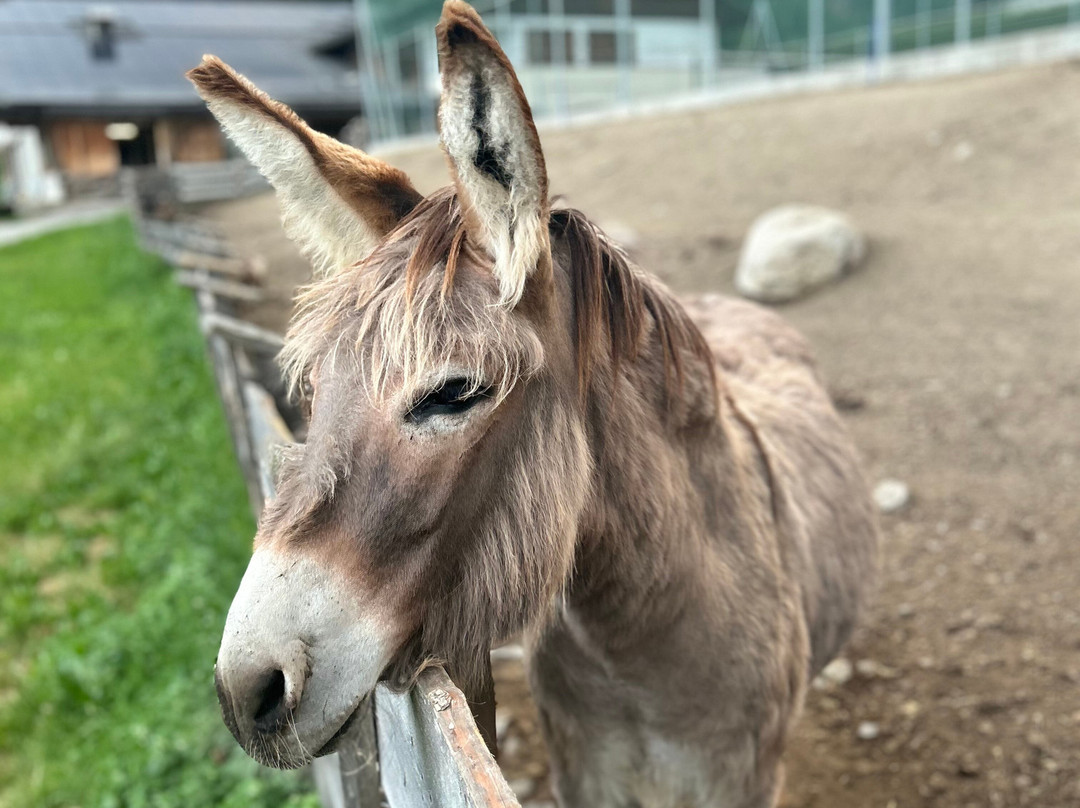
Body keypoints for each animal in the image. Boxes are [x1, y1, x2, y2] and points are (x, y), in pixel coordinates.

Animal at [190, 2, 878, 805]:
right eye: (315, 388)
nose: (246, 690)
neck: (637, 651)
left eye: (455, 392)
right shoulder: (583, 771)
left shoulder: (741, 779)